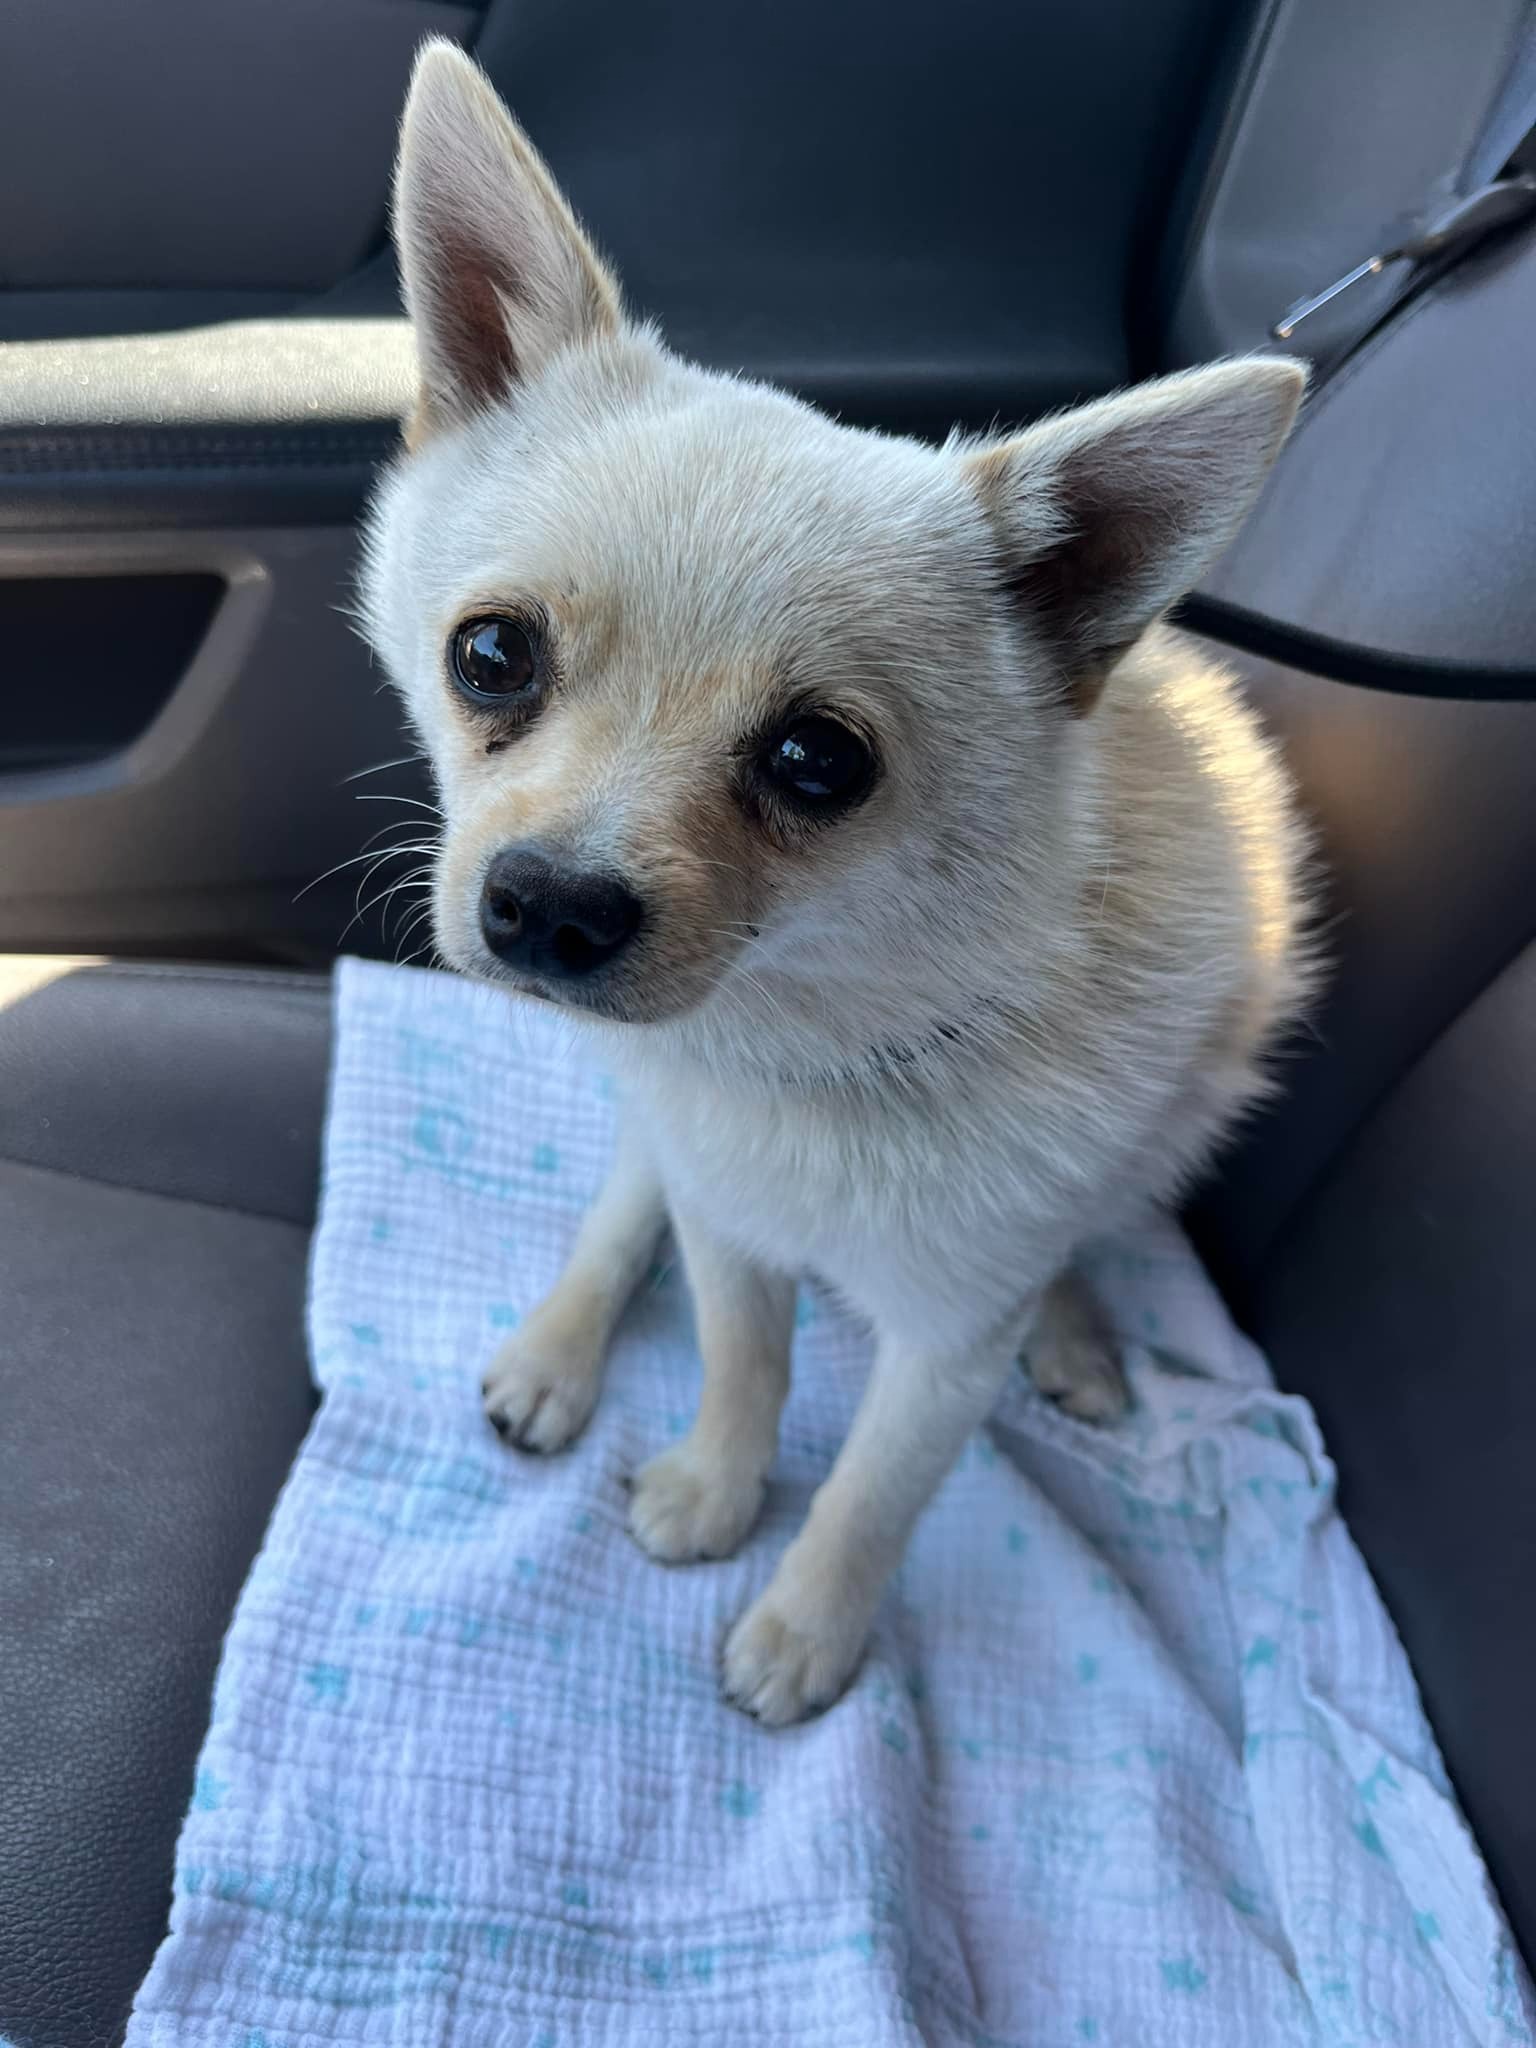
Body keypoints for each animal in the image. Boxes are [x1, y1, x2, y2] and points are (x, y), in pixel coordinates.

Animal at [366, 39, 1318, 1720]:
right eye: (490, 655)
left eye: (819, 761)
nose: (549, 906)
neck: (809, 1045)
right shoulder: (732, 1226)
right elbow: (747, 1355)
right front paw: (719, 1487)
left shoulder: (948, 1346)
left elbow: (880, 1486)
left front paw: (808, 1626)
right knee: (633, 1194)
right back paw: (559, 1345)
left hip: (1174, 1131)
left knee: (1099, 1222)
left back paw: (1077, 1331)